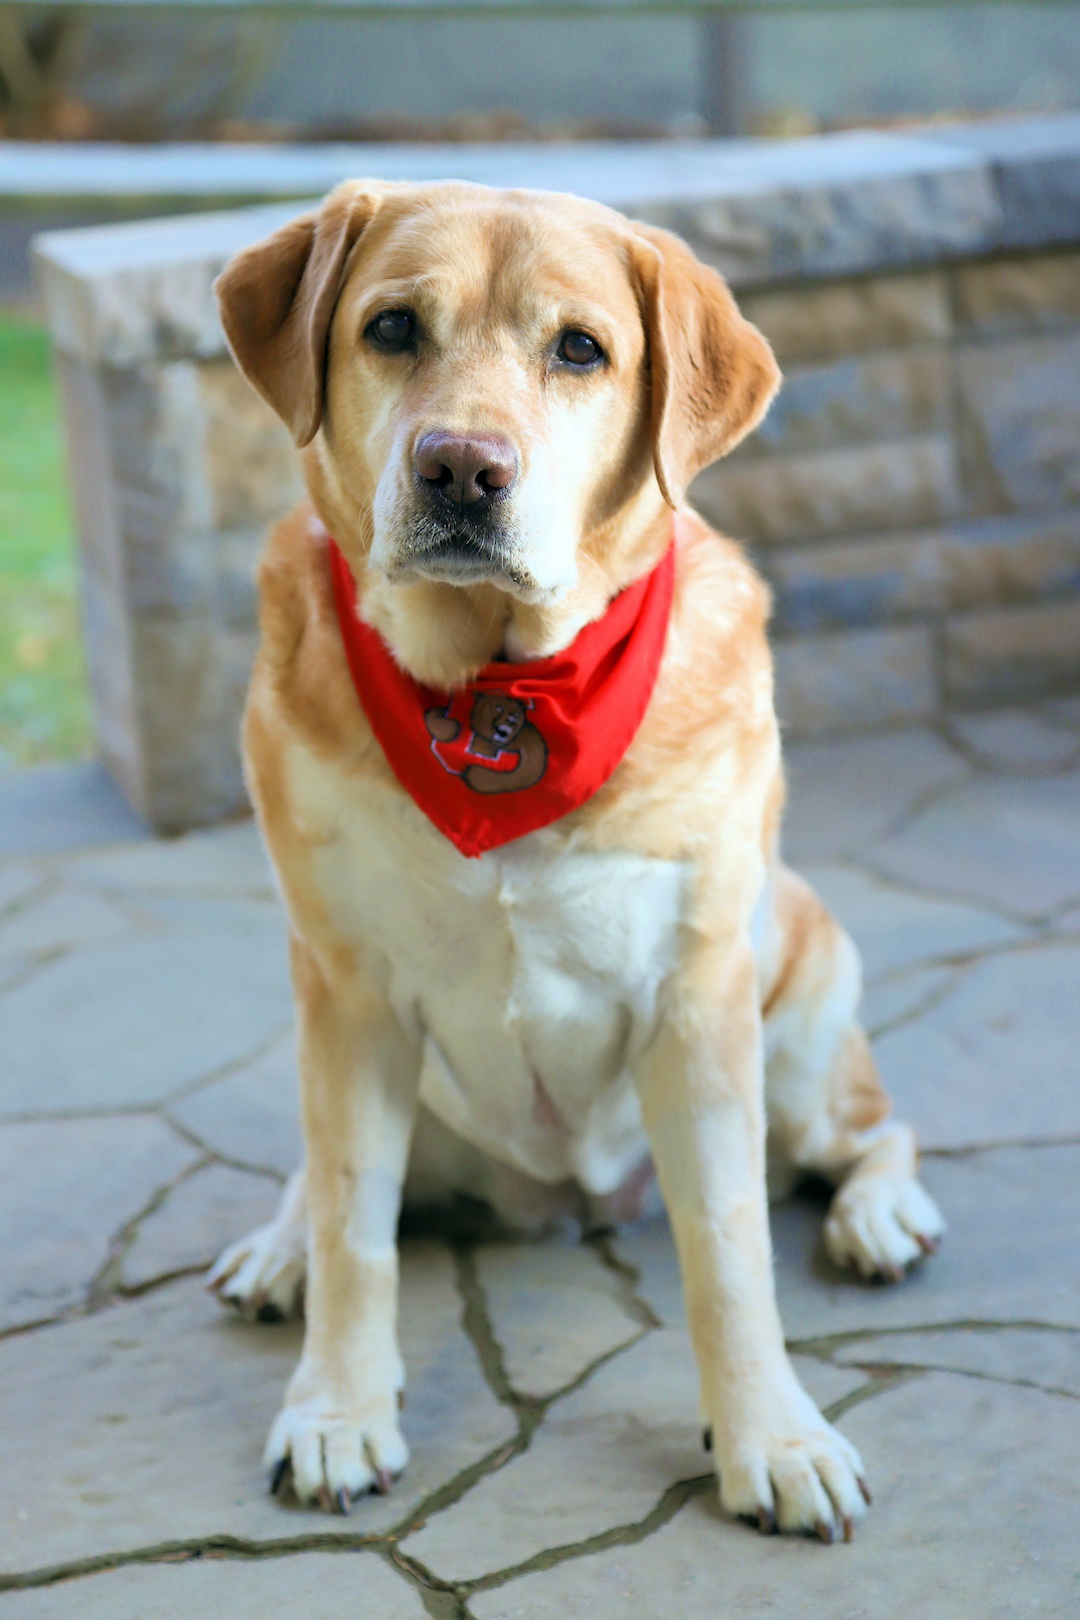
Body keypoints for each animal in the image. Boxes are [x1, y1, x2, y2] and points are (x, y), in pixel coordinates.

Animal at [207, 180, 939, 1542]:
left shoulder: (699, 998)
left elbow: (729, 1249)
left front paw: (771, 1439)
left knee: (870, 1133)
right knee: (325, 1186)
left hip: (799, 1020)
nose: (460, 466)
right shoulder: (346, 989)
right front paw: (336, 1409)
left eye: (581, 350)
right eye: (393, 328)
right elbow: (352, 1225)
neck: (500, 693)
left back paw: (881, 1215)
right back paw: (276, 1249)